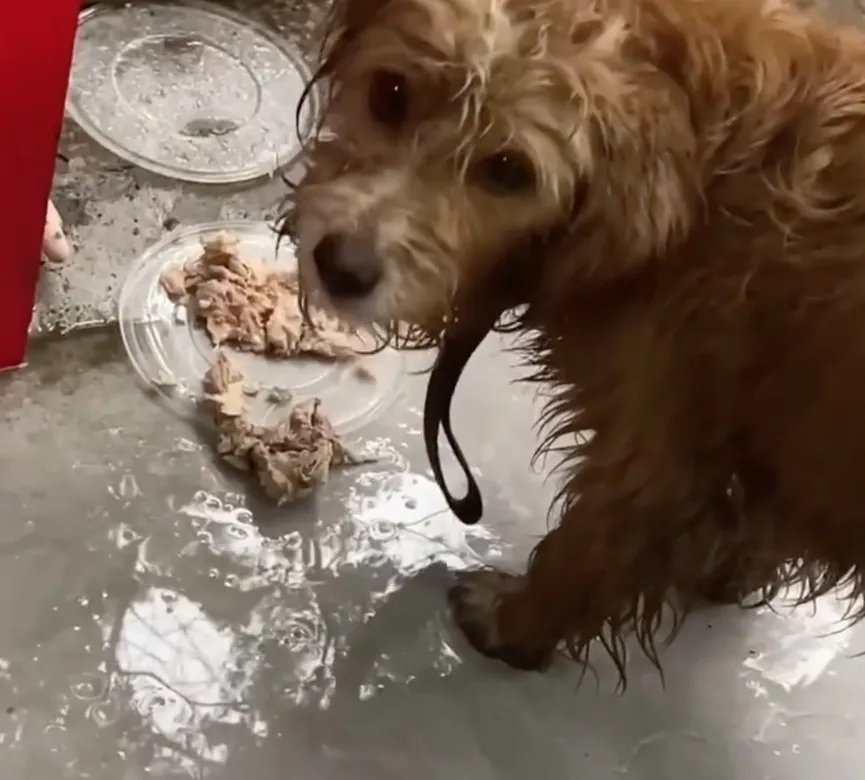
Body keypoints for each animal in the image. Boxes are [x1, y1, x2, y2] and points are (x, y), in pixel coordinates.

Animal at [282, 0, 865, 676]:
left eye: (509, 171)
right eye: (391, 93)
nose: (342, 268)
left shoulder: (653, 452)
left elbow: (582, 554)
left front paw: (515, 624)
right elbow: (764, 520)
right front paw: (726, 567)